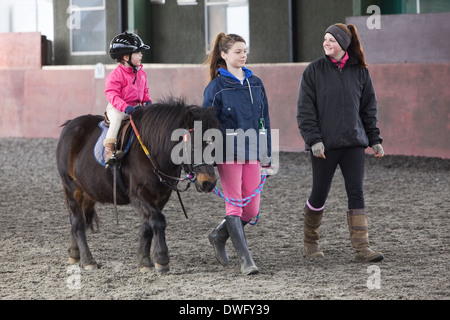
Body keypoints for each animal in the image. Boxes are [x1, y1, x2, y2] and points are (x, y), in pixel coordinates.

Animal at [55, 99, 221, 272]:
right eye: (194, 145)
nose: (209, 182)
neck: (152, 149)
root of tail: (71, 124)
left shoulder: (161, 195)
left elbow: (148, 225)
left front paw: (144, 260)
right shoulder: (139, 193)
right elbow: (158, 220)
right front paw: (161, 259)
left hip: (88, 191)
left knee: (78, 218)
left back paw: (75, 253)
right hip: (72, 188)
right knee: (78, 221)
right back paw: (88, 260)